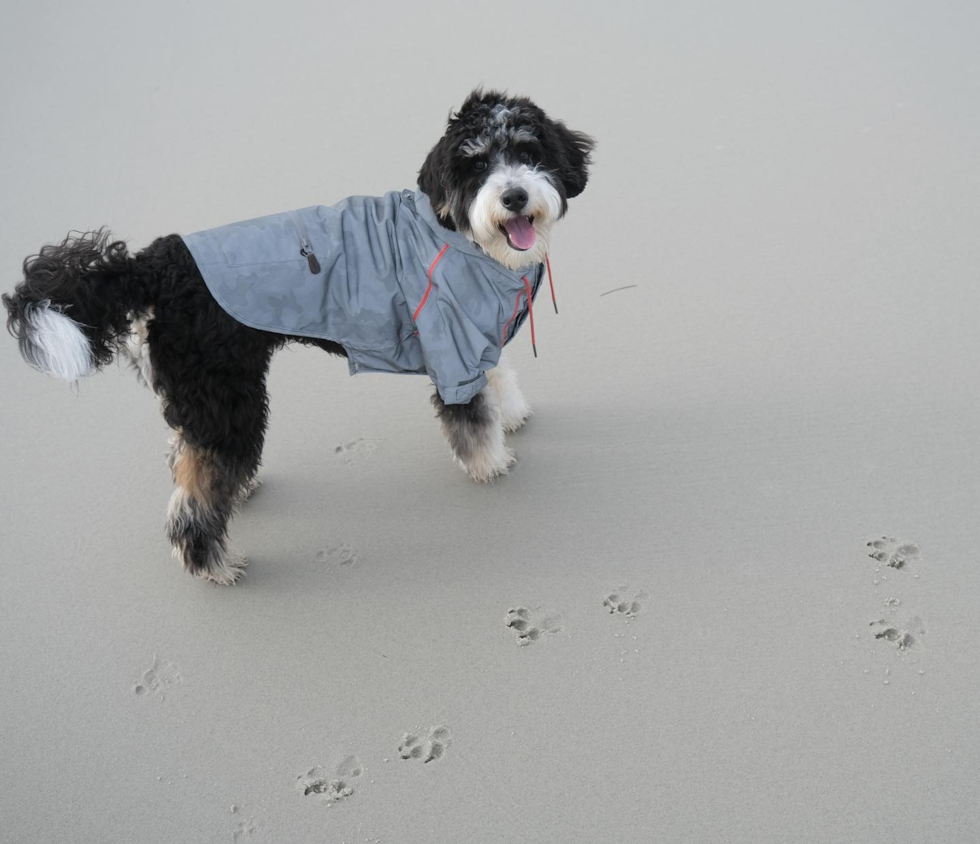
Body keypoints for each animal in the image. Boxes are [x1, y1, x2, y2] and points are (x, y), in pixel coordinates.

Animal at [3, 89, 592, 584]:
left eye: (528, 151)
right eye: (477, 165)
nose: (514, 197)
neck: (463, 237)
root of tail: (157, 262)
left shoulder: (476, 337)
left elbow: (498, 377)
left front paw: (511, 415)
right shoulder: (453, 350)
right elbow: (471, 420)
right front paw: (492, 464)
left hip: (203, 395)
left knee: (186, 453)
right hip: (228, 396)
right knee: (194, 492)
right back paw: (212, 563)